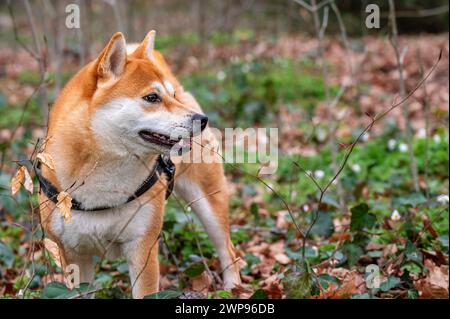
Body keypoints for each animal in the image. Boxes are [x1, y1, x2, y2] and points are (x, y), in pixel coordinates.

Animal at [38, 31, 241, 298]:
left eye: (171, 96)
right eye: (152, 97)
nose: (202, 120)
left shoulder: (142, 247)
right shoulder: (73, 256)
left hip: (209, 204)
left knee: (228, 250)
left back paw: (233, 288)